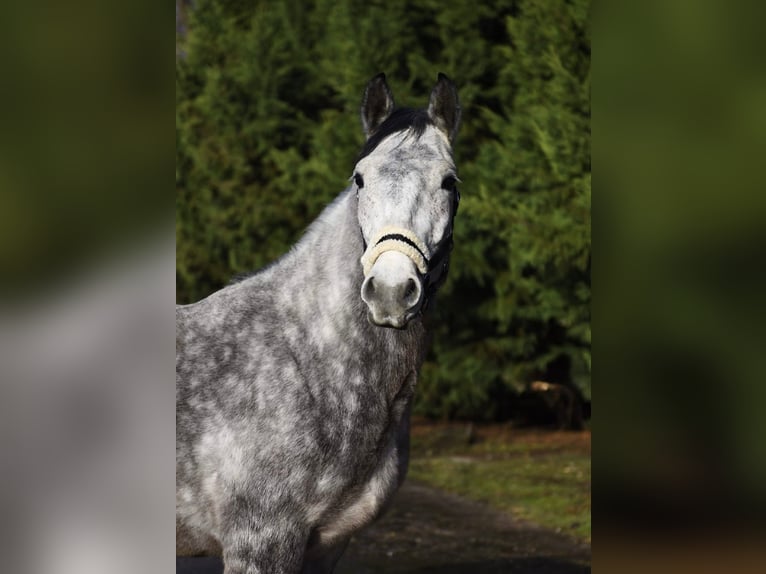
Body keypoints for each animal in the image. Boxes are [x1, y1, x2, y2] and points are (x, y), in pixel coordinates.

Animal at [176, 72, 461, 573]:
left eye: (449, 182)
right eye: (360, 178)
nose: (391, 291)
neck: (303, 359)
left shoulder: (326, 545)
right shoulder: (261, 540)